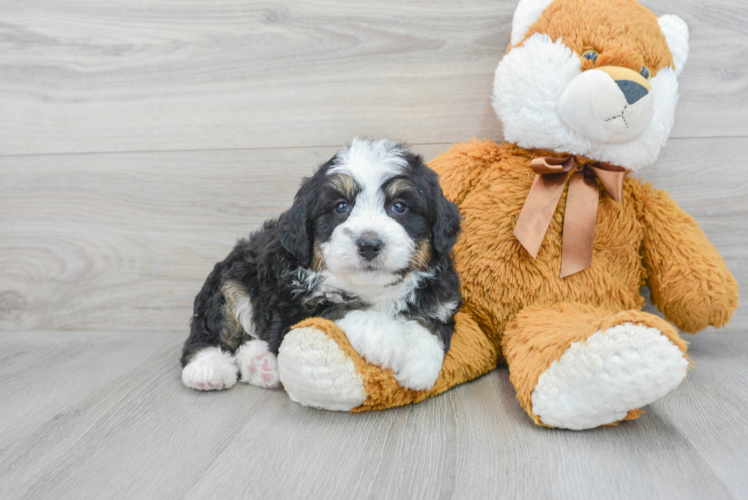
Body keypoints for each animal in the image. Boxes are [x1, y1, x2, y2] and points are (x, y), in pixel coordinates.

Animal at [181, 139, 462, 392]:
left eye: (399, 206)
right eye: (341, 206)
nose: (369, 244)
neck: (373, 290)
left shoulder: (442, 297)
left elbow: (431, 323)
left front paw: (420, 362)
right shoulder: (290, 308)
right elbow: (336, 309)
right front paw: (385, 338)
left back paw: (262, 365)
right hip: (230, 281)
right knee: (211, 327)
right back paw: (207, 368)